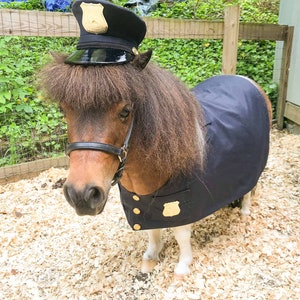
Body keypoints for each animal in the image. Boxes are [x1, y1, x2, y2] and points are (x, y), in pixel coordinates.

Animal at [39, 50, 272, 282]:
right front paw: (151, 257)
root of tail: (248, 81)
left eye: (125, 111)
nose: (81, 195)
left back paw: (245, 211)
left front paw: (183, 266)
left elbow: (181, 233)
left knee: (250, 186)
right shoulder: (143, 203)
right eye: (63, 110)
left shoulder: (181, 203)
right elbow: (152, 230)